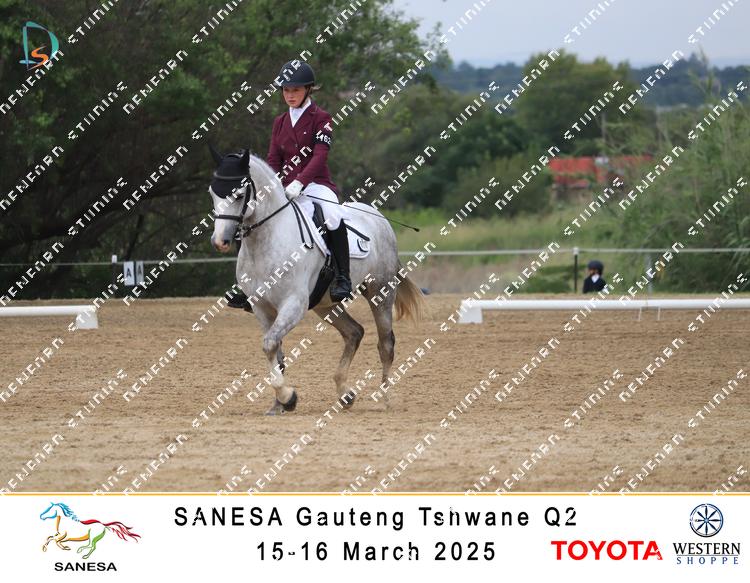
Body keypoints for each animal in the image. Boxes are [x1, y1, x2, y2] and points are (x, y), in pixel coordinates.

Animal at [207, 146, 425, 415]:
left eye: (238, 195)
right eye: (212, 193)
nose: (220, 241)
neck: (266, 241)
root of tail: (378, 217)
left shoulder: (293, 304)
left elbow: (269, 345)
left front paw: (288, 397)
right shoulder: (261, 308)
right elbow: (276, 353)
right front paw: (279, 404)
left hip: (380, 291)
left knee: (386, 344)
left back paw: (386, 398)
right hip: (326, 305)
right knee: (354, 333)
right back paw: (345, 394)